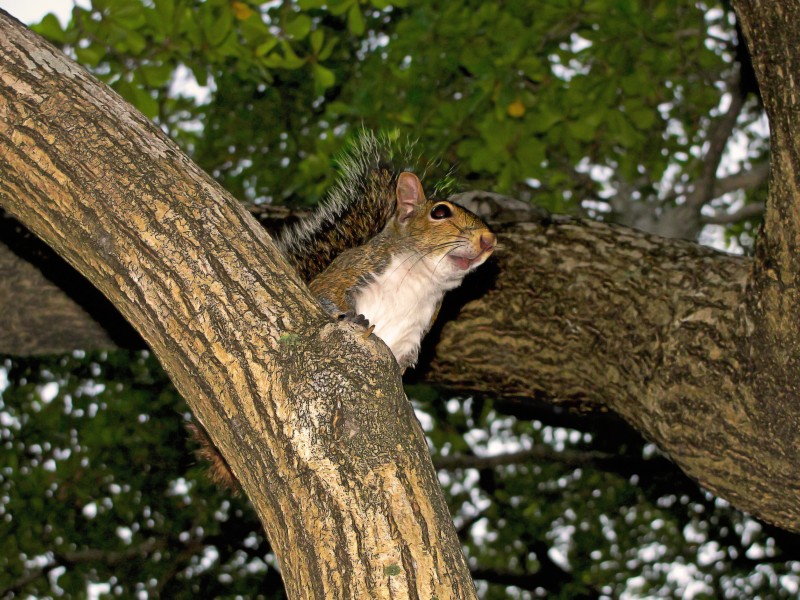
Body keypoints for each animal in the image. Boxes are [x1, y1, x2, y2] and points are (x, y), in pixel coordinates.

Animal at [191, 130, 496, 488]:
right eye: (440, 213)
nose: (489, 240)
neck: (420, 280)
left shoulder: (416, 331)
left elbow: (402, 366)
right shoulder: (348, 271)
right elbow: (326, 295)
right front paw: (350, 316)